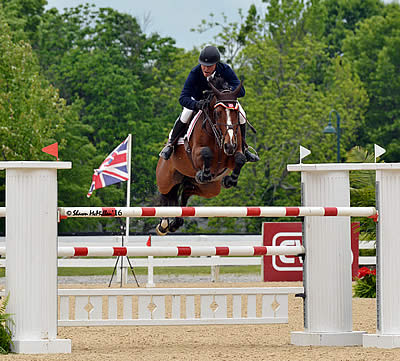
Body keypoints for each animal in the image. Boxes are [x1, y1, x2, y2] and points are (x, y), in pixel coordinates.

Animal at [154, 80, 245, 235]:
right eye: (218, 113)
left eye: (236, 112)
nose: (229, 145)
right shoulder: (196, 153)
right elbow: (206, 153)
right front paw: (205, 174)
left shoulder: (233, 154)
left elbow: (240, 159)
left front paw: (230, 180)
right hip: (165, 178)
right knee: (165, 195)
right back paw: (164, 224)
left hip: (210, 189)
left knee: (185, 191)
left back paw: (176, 222)